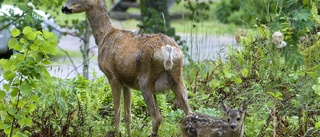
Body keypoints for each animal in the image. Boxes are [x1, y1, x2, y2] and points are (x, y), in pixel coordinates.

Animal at [61, 0, 192, 136]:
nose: (64, 8)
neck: (104, 37)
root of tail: (168, 49)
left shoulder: (112, 77)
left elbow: (117, 113)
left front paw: (116, 133)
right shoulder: (127, 82)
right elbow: (128, 114)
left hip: (146, 80)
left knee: (157, 117)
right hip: (177, 77)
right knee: (189, 113)